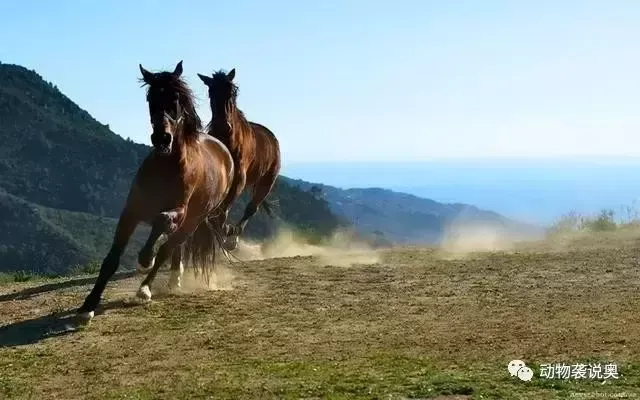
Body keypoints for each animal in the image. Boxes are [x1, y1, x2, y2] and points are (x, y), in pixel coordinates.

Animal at [76, 60, 234, 322]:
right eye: (151, 99)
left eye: (176, 99)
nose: (162, 138)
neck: (166, 166)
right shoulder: (131, 212)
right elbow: (111, 260)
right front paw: (88, 305)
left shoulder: (178, 211)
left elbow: (160, 225)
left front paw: (144, 259)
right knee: (174, 248)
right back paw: (174, 279)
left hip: (194, 219)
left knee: (168, 248)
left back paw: (145, 288)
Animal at [196, 70, 282, 248]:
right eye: (211, 92)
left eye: (233, 92)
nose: (223, 126)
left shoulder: (239, 180)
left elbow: (223, 211)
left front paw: (226, 231)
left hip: (267, 182)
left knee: (251, 208)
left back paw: (233, 237)